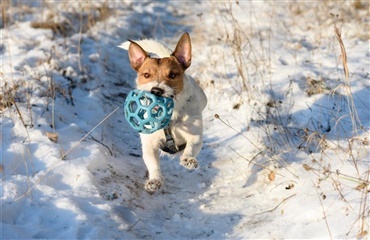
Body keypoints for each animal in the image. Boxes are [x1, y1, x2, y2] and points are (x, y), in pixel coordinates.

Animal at [121, 32, 208, 192]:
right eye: (146, 75)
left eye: (172, 75)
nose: (156, 90)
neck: (169, 116)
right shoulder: (149, 144)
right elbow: (153, 163)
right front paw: (154, 180)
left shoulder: (195, 135)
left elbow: (192, 146)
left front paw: (188, 159)